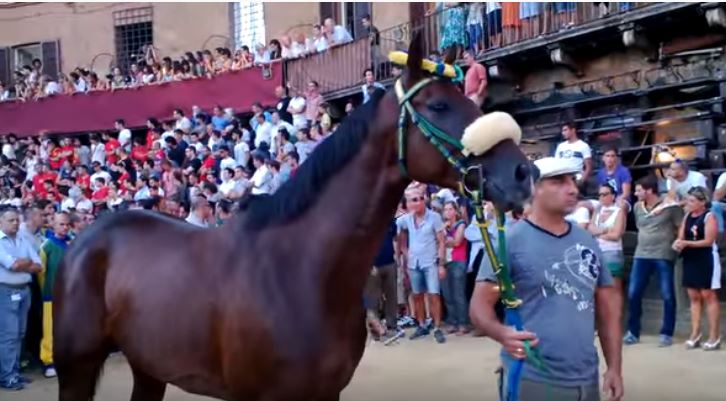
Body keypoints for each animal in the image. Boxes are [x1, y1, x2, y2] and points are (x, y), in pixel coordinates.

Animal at [53, 34, 534, 401]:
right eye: (437, 106)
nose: (523, 172)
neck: (300, 271)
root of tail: (87, 239)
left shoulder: (325, 393)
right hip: (78, 368)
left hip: (149, 367)